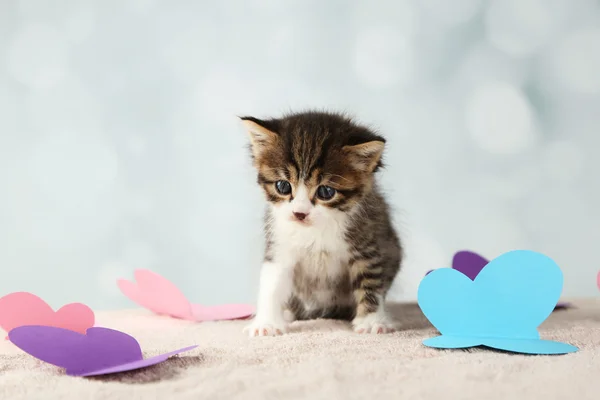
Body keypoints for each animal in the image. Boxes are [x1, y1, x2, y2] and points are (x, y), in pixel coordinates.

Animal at [240, 111, 404, 336]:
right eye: (283, 186)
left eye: (326, 191)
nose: (299, 213)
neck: (315, 230)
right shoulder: (279, 244)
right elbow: (271, 284)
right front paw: (266, 323)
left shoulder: (367, 242)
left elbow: (370, 280)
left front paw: (371, 321)